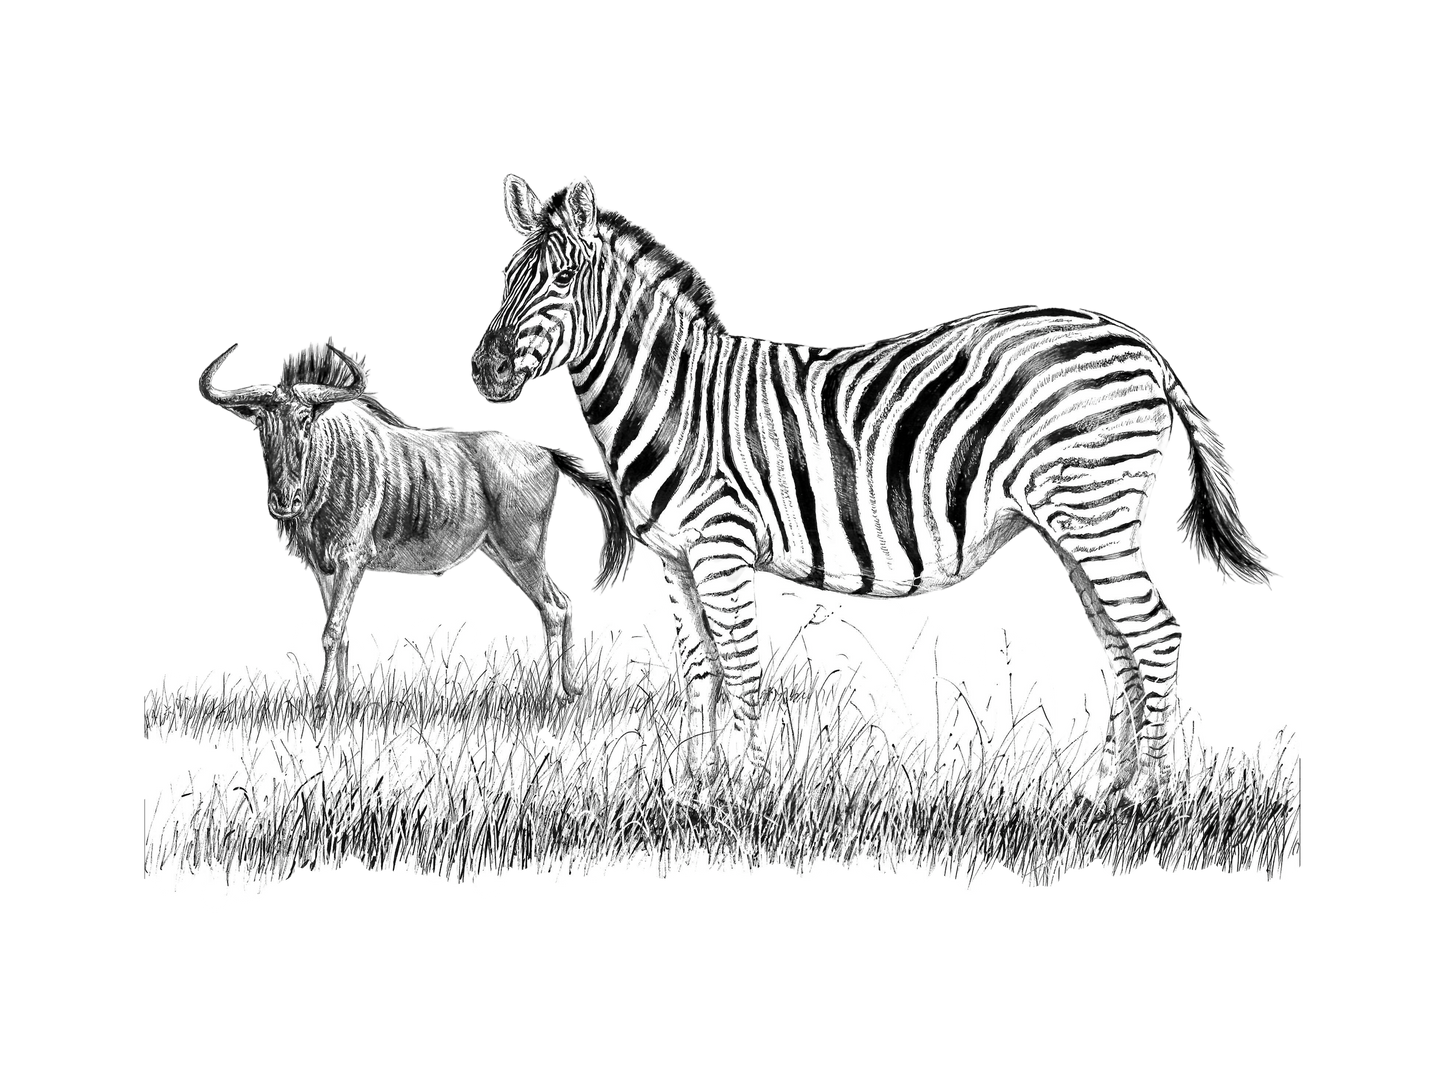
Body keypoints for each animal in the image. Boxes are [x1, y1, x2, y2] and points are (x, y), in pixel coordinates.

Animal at [467, 172, 1283, 803]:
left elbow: (741, 666)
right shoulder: (667, 555)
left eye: (561, 280)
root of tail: (1139, 343)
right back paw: (1105, 793)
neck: (674, 398)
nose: (484, 371)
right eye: (504, 281)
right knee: (1119, 644)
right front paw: (694, 790)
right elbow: (699, 670)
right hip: (1075, 525)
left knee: (1156, 634)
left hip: (1095, 513)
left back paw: (1154, 797)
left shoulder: (721, 545)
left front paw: (742, 794)